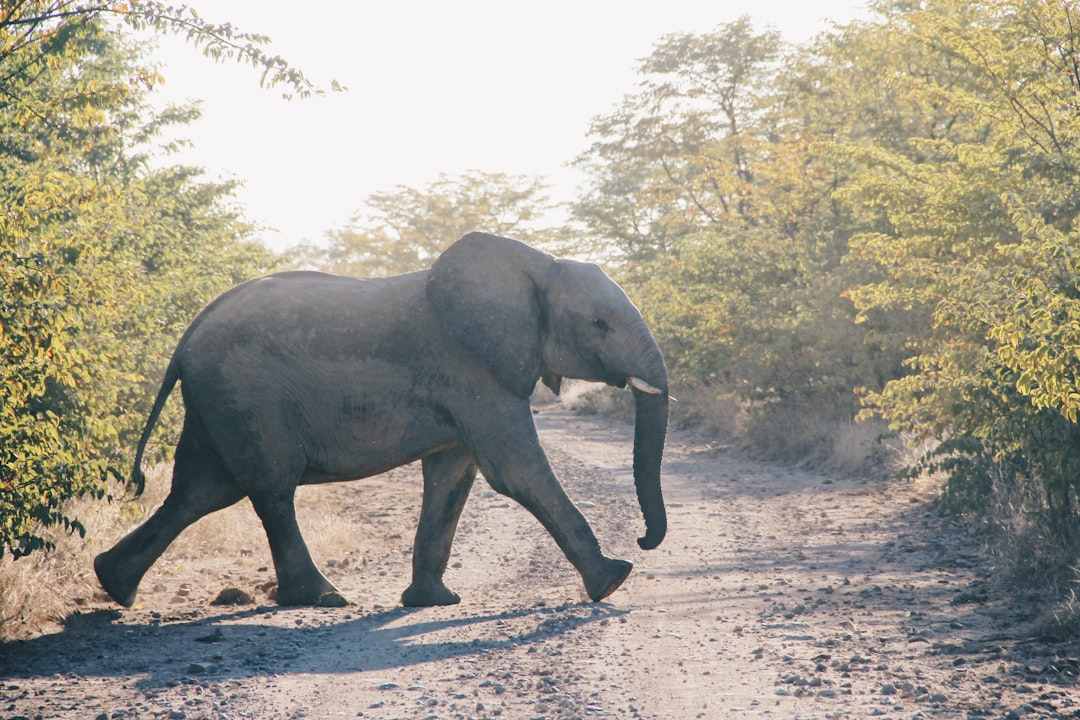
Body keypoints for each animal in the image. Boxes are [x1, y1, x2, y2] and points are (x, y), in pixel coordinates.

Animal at [94, 232, 669, 608]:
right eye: (599, 324)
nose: (645, 540)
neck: (537, 264)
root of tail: (185, 339)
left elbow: (452, 479)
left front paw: (433, 602)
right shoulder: (473, 370)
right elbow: (516, 472)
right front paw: (614, 580)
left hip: (217, 403)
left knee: (200, 492)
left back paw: (115, 588)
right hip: (244, 396)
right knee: (268, 490)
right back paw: (323, 598)